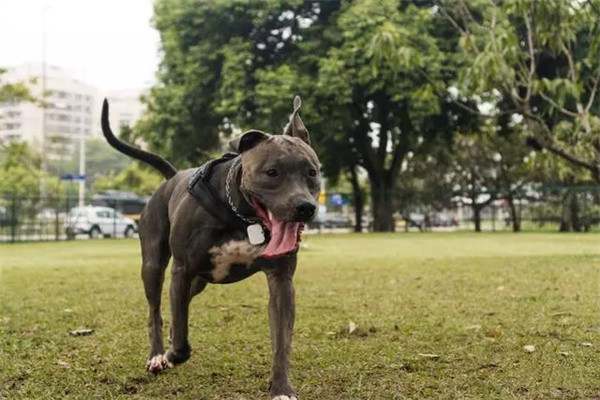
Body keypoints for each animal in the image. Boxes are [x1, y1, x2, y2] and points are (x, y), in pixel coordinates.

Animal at [101, 96, 322, 400]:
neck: (240, 216)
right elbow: (181, 341)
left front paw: (281, 388)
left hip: (200, 281)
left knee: (179, 305)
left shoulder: (281, 281)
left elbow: (281, 341)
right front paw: (171, 354)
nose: (305, 207)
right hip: (154, 266)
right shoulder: (181, 270)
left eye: (312, 172)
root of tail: (172, 177)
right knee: (155, 310)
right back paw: (158, 354)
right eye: (271, 172)